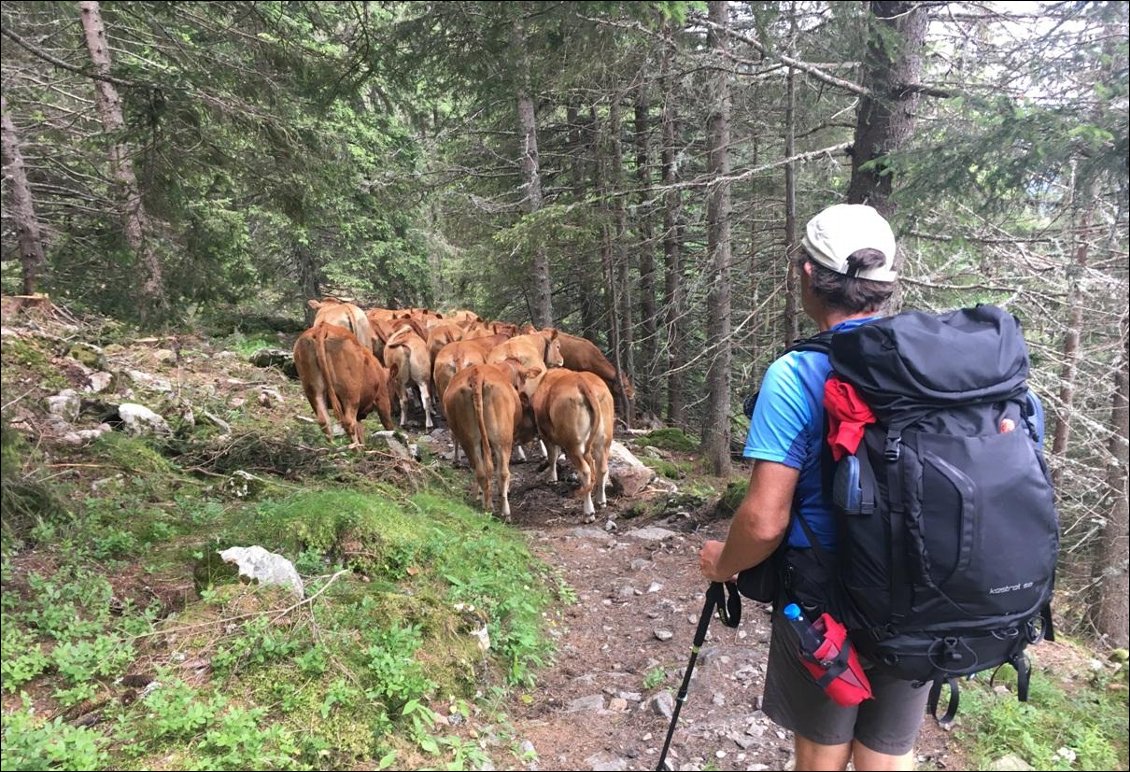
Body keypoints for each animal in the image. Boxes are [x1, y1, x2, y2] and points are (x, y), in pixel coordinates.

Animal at [442, 361, 540, 519]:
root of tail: (477, 374)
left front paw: (479, 495)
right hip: (502, 439)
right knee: (503, 472)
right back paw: (504, 511)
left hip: (469, 439)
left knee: (481, 470)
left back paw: (487, 506)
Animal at [531, 370, 614, 524]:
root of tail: (582, 382)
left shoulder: (544, 434)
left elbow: (552, 456)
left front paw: (552, 478)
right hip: (604, 441)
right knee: (602, 468)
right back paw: (601, 501)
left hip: (573, 445)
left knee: (586, 472)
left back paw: (588, 513)